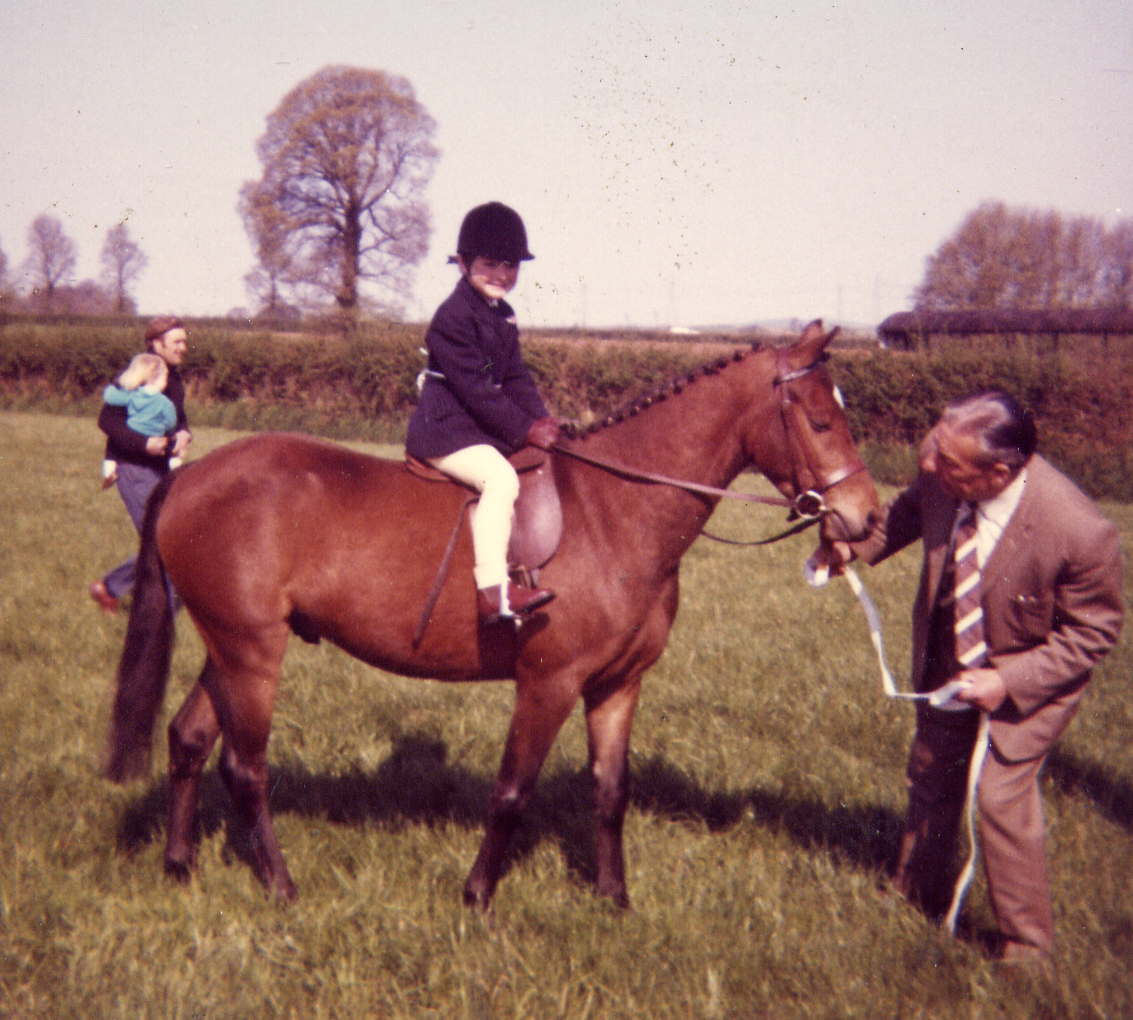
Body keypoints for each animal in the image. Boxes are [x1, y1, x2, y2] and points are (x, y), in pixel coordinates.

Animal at [106, 321, 879, 906]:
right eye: (820, 419)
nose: (866, 520)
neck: (616, 509)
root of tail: (190, 478)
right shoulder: (549, 682)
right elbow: (512, 791)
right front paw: (476, 896)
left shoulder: (617, 686)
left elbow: (610, 792)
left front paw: (613, 899)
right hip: (252, 653)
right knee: (245, 767)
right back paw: (281, 886)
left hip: (229, 648)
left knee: (188, 738)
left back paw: (179, 866)